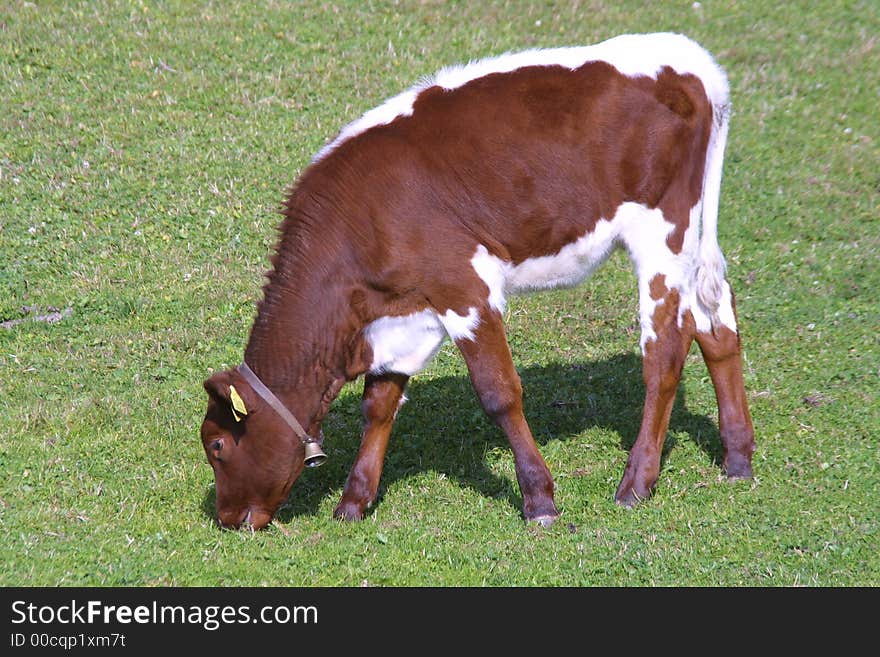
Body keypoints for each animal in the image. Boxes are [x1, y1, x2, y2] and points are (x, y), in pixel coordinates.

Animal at [201, 33, 756, 532]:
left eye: (217, 445)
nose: (227, 519)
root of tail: (695, 63)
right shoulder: (405, 312)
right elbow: (379, 404)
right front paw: (353, 503)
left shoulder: (464, 287)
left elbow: (499, 394)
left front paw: (540, 501)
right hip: (692, 239)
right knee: (716, 320)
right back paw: (738, 458)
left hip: (663, 231)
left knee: (665, 350)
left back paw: (636, 483)